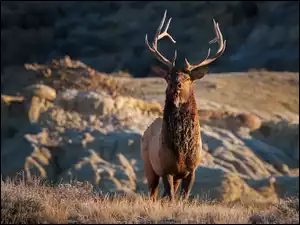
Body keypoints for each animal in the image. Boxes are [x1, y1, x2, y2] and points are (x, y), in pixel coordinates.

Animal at [140, 10, 225, 200]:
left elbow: (183, 198)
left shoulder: (191, 170)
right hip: (149, 166)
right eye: (168, 77)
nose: (176, 84)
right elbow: (171, 197)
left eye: (187, 78)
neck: (181, 152)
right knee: (153, 194)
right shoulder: (165, 168)